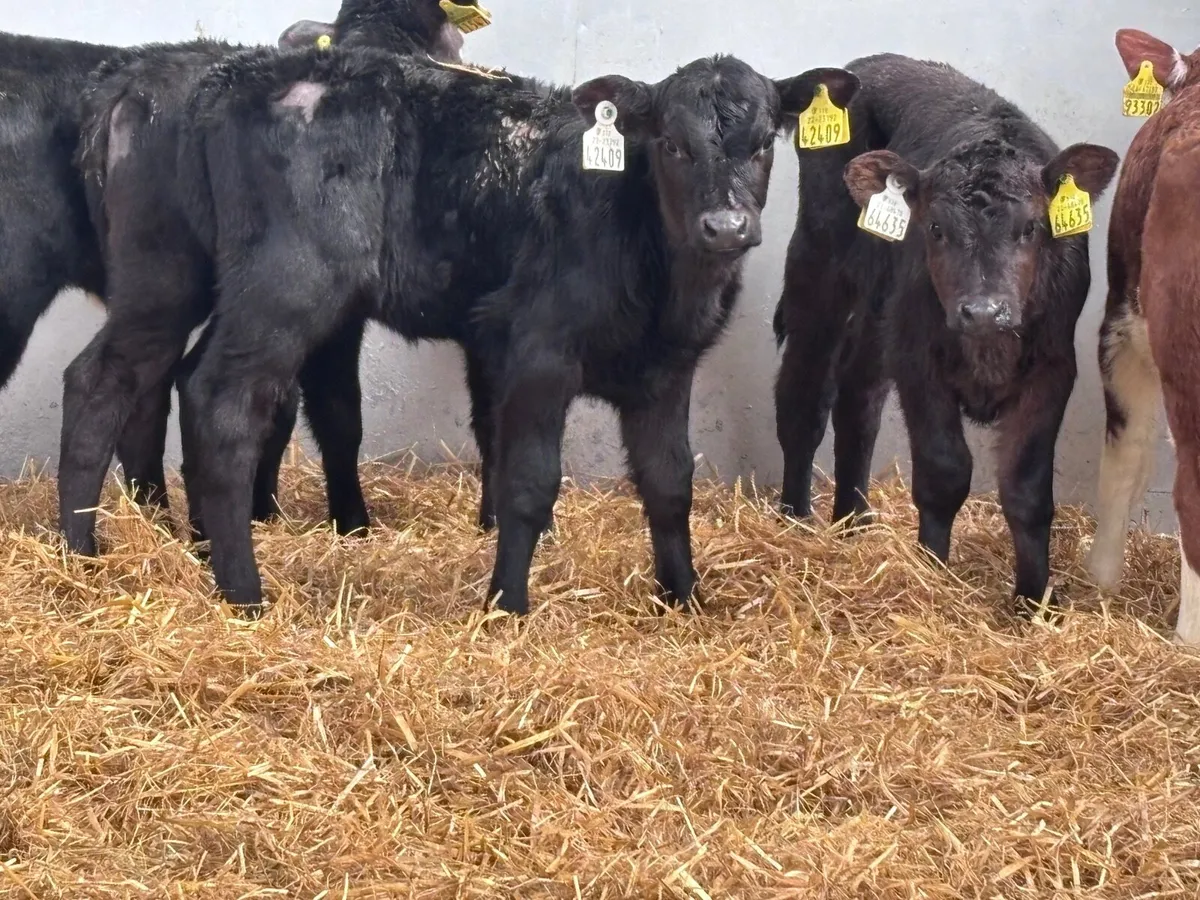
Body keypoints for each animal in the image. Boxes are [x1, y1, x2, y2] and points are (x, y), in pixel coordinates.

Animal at [57, 0, 476, 557]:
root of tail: (128, 79)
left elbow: (275, 403)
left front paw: (259, 511)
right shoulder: (334, 309)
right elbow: (337, 410)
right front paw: (351, 522)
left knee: (148, 384)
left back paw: (162, 525)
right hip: (166, 271)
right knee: (101, 380)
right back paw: (83, 547)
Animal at [129, 40, 859, 616]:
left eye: (762, 145)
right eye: (673, 145)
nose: (726, 226)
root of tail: (239, 75)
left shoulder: (666, 369)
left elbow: (669, 483)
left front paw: (684, 597)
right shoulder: (538, 352)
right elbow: (529, 482)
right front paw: (508, 604)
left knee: (189, 379)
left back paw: (205, 553)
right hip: (287, 285)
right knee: (221, 400)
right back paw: (243, 594)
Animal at [773, 53, 1119, 616]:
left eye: (1031, 227)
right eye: (935, 229)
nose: (983, 311)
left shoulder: (1052, 368)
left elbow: (1026, 490)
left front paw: (1033, 601)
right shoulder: (919, 359)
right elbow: (944, 472)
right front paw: (932, 575)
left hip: (881, 308)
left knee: (858, 398)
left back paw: (854, 523)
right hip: (820, 263)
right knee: (805, 394)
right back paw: (794, 517)